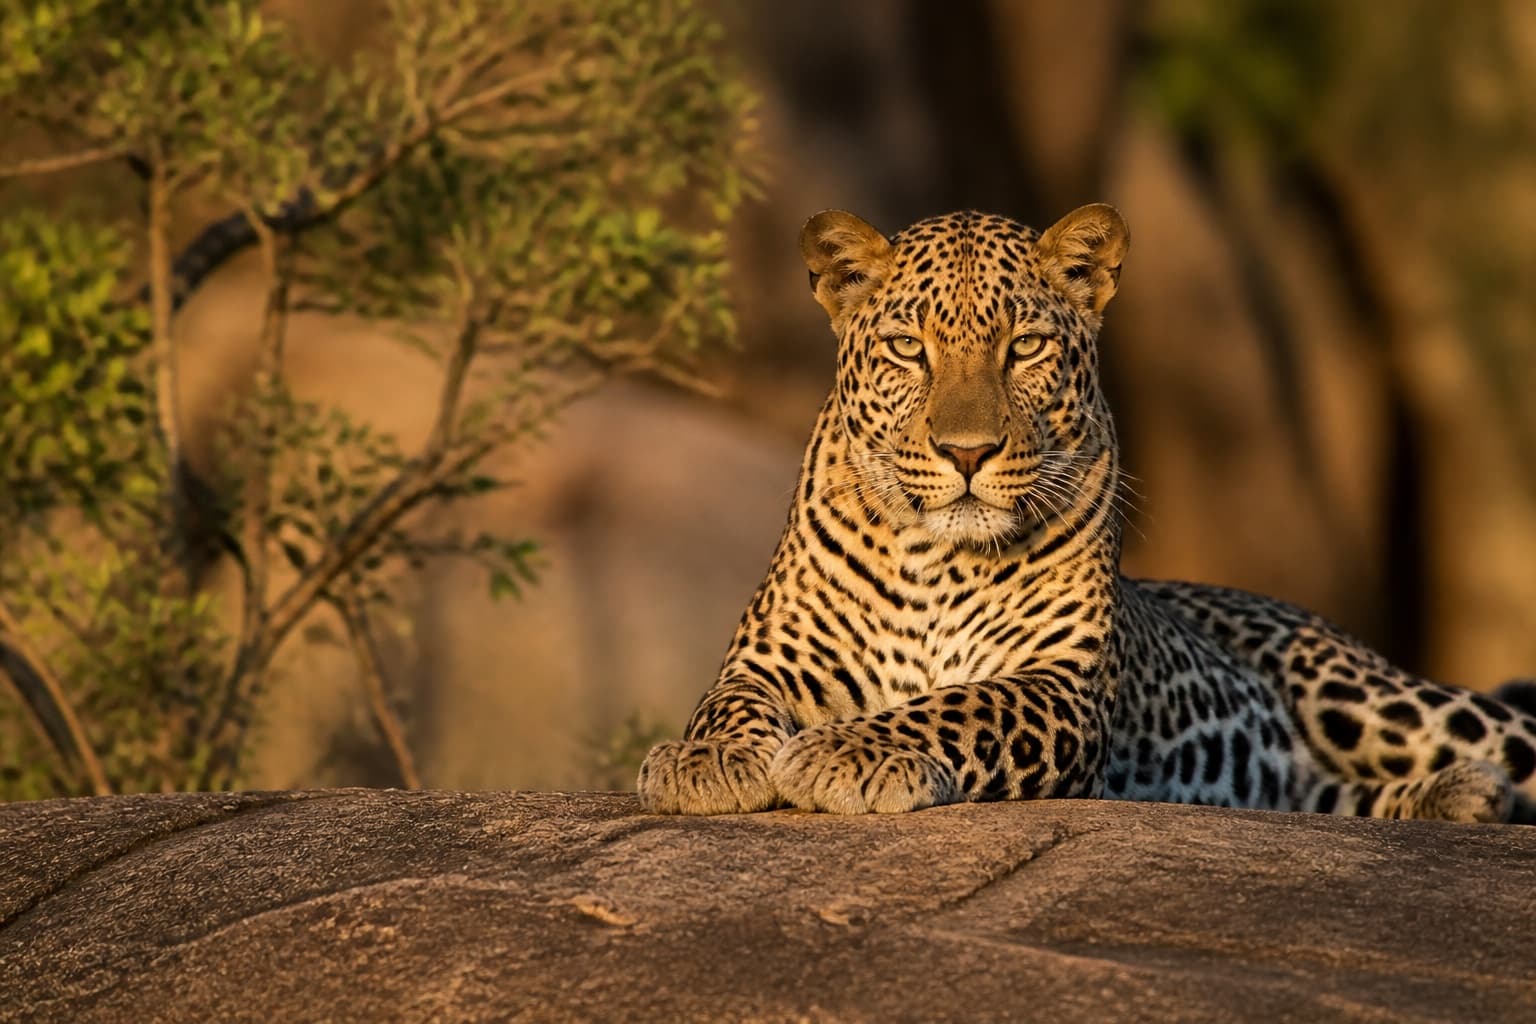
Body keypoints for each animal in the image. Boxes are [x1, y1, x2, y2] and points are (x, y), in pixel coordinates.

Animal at [637, 203, 1536, 823]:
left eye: (1025, 348)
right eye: (907, 349)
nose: (967, 453)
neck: (934, 560)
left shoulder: (1058, 683)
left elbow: (960, 705)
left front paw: (850, 751)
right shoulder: (768, 659)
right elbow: (728, 700)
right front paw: (705, 758)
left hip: (1374, 697)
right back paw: (1462, 797)